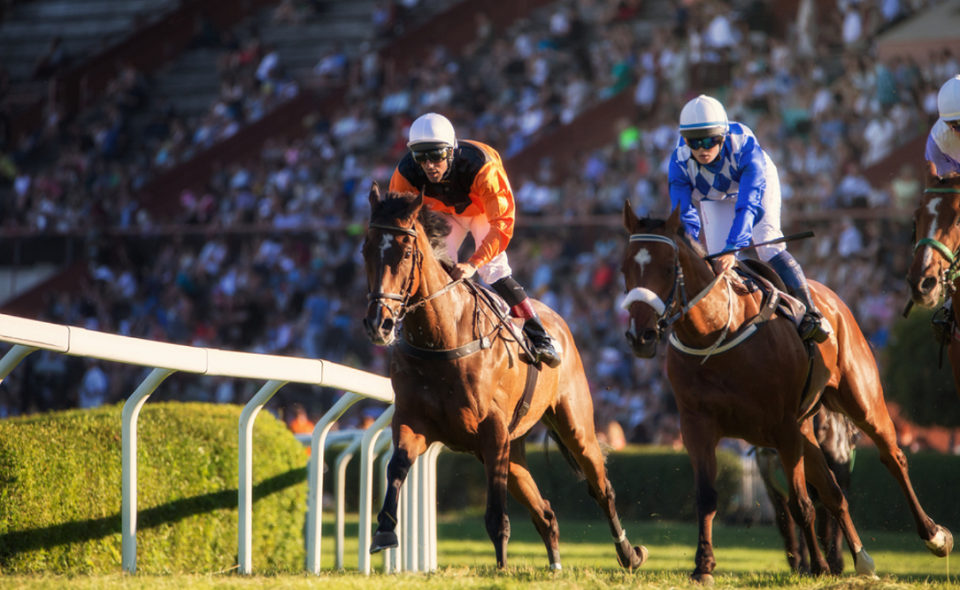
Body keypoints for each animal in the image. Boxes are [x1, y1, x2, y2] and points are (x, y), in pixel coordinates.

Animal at [362, 186, 652, 572]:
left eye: (406, 252)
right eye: (366, 249)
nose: (379, 324)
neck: (442, 339)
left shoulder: (492, 430)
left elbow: (496, 512)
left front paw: (501, 567)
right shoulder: (413, 422)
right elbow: (396, 466)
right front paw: (383, 530)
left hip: (574, 426)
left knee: (601, 487)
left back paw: (629, 554)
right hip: (512, 449)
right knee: (545, 512)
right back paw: (555, 566)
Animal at [624, 202, 952, 584]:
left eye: (666, 267)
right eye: (625, 268)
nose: (641, 335)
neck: (716, 334)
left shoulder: (781, 428)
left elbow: (801, 505)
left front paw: (819, 567)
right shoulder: (698, 426)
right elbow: (707, 497)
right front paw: (703, 566)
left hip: (862, 401)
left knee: (892, 458)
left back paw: (933, 535)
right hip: (806, 427)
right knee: (834, 493)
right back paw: (862, 559)